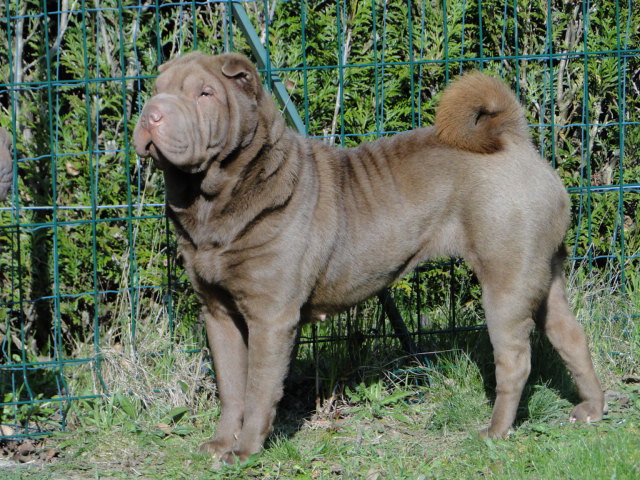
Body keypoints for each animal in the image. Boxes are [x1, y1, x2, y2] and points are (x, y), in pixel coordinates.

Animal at [132, 51, 604, 464]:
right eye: (157, 89)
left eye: (205, 93)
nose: (151, 112)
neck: (212, 202)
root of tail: (514, 138)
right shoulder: (218, 312)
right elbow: (231, 386)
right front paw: (219, 443)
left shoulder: (270, 316)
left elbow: (258, 388)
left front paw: (245, 452)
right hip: (542, 272)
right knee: (570, 335)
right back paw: (592, 410)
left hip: (506, 278)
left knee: (515, 360)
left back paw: (495, 431)